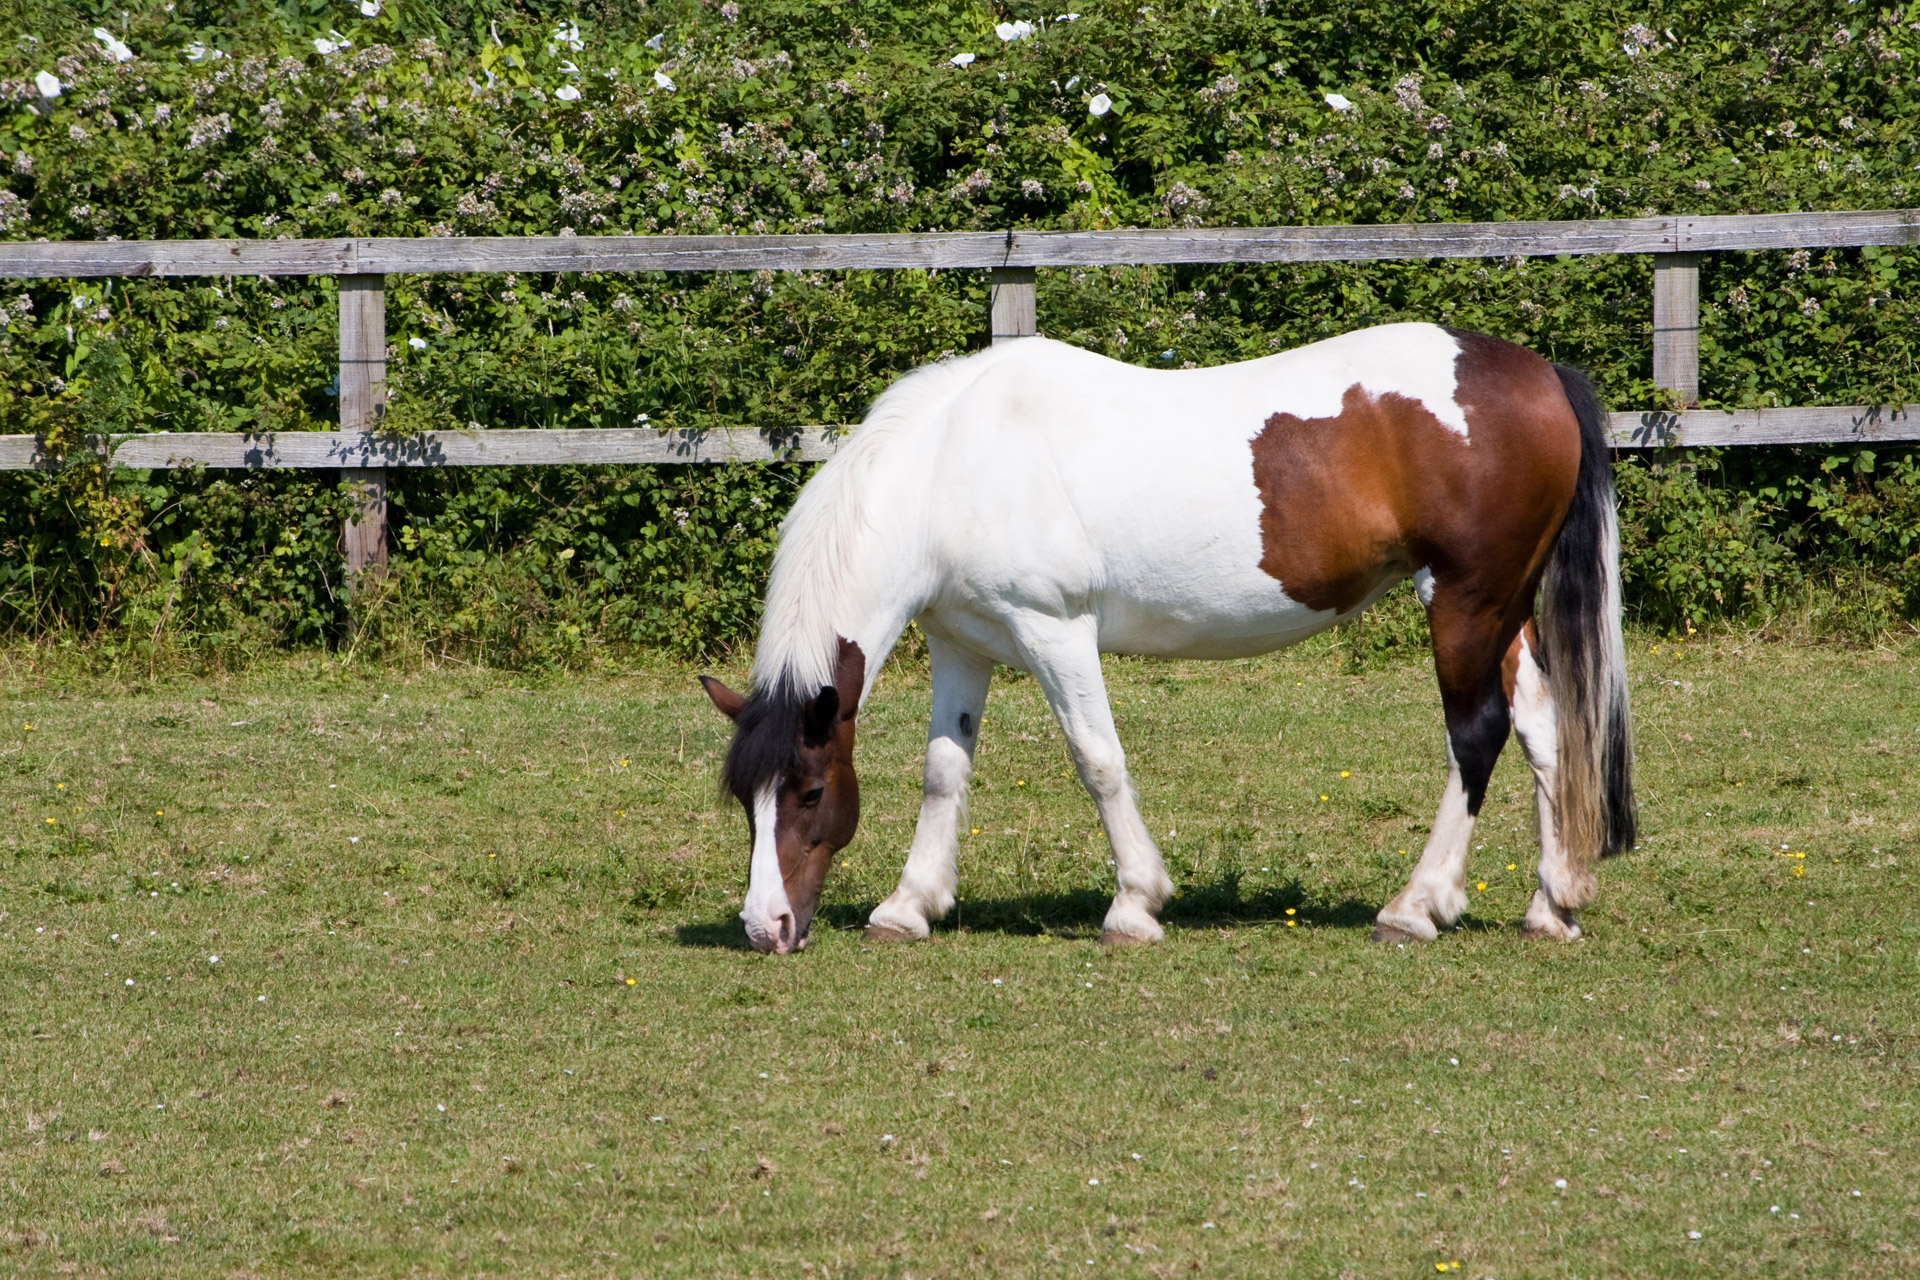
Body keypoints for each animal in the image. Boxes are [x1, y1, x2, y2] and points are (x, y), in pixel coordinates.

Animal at [702, 326, 1635, 955]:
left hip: (1464, 601)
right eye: (746, 801)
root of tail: (1541, 374)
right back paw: (1552, 905)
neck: (946, 469)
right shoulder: (964, 645)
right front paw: (909, 906)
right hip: (1500, 610)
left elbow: (1098, 760)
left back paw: (1414, 907)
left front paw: (1135, 905)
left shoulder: (1055, 631)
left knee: (1475, 738)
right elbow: (944, 772)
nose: (764, 926)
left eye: (809, 792)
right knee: (1544, 729)